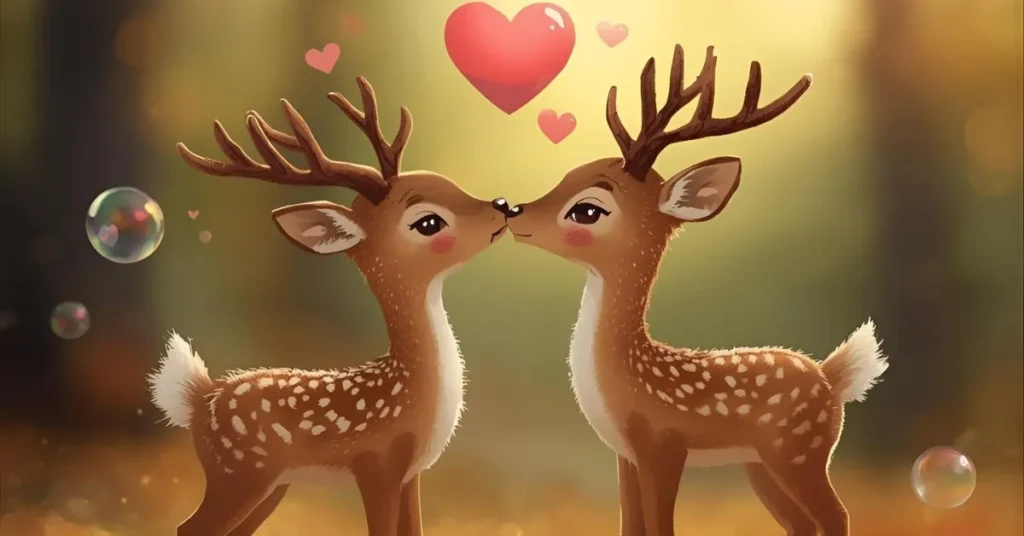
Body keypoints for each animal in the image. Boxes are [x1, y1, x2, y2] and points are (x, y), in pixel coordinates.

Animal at [147, 77, 515, 536]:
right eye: (428, 222)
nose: (503, 205)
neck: (409, 390)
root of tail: (199, 398)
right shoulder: (376, 463)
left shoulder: (411, 475)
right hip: (240, 470)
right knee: (190, 527)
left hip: (274, 484)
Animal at [504, 45, 889, 536]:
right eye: (569, 174)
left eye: (587, 210)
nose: (513, 210)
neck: (628, 377)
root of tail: (831, 376)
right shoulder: (624, 455)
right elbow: (631, 526)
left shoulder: (662, 444)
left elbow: (662, 526)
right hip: (761, 465)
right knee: (802, 524)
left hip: (800, 450)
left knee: (836, 515)